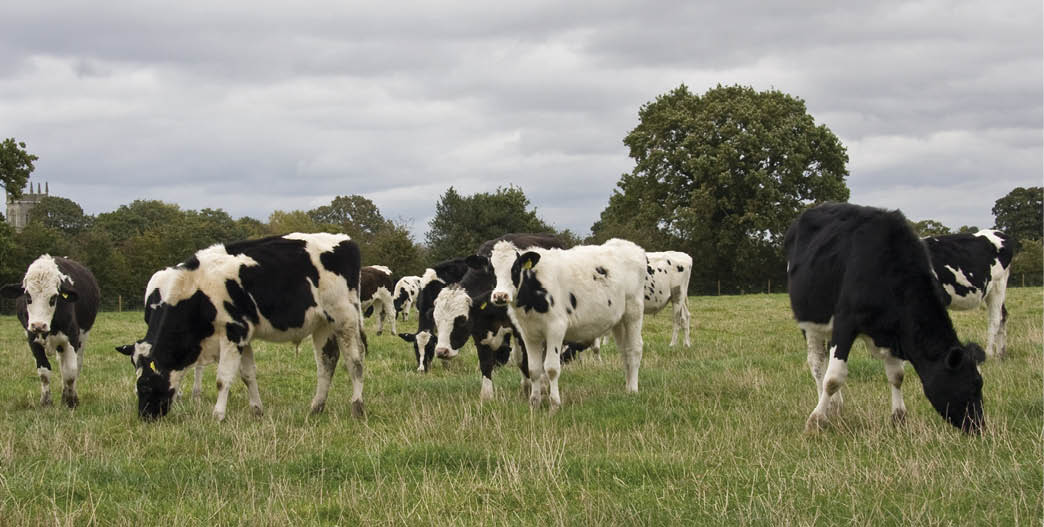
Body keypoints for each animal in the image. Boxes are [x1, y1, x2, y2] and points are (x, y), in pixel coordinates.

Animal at [0, 255, 100, 408]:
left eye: (53, 297)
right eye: (28, 296)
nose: (38, 325)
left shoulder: (72, 337)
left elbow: (70, 372)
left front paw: (71, 401)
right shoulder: (32, 339)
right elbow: (44, 372)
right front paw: (46, 401)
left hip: (82, 339)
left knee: (75, 365)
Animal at [114, 233, 367, 421]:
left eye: (144, 386)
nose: (145, 417)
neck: (197, 291)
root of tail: (345, 240)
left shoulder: (233, 332)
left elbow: (223, 378)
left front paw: (218, 415)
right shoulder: (243, 337)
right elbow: (247, 375)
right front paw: (256, 410)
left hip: (344, 318)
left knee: (354, 362)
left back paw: (357, 406)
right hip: (322, 324)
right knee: (327, 362)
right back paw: (316, 407)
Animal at [489, 238, 647, 410]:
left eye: (516, 268)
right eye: (491, 270)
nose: (500, 296)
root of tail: (627, 244)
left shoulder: (555, 328)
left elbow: (551, 368)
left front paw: (554, 405)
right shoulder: (529, 334)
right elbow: (534, 369)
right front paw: (534, 404)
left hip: (633, 312)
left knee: (635, 349)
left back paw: (633, 390)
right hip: (619, 320)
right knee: (625, 351)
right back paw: (627, 387)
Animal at [785, 203, 985, 434]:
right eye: (971, 385)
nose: (979, 427)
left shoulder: (894, 330)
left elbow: (897, 376)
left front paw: (899, 417)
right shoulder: (845, 323)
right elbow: (833, 378)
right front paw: (816, 420)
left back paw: (835, 407)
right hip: (810, 323)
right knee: (818, 365)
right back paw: (824, 407)